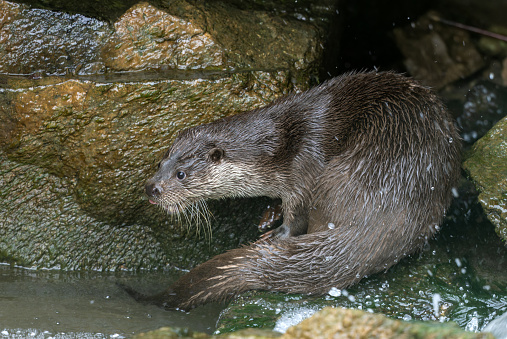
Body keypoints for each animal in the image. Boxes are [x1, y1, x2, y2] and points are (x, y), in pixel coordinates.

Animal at [137, 71, 462, 310]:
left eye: (181, 174)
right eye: (161, 162)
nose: (152, 188)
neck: (280, 144)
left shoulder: (305, 167)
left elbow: (297, 214)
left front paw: (277, 232)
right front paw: (270, 214)